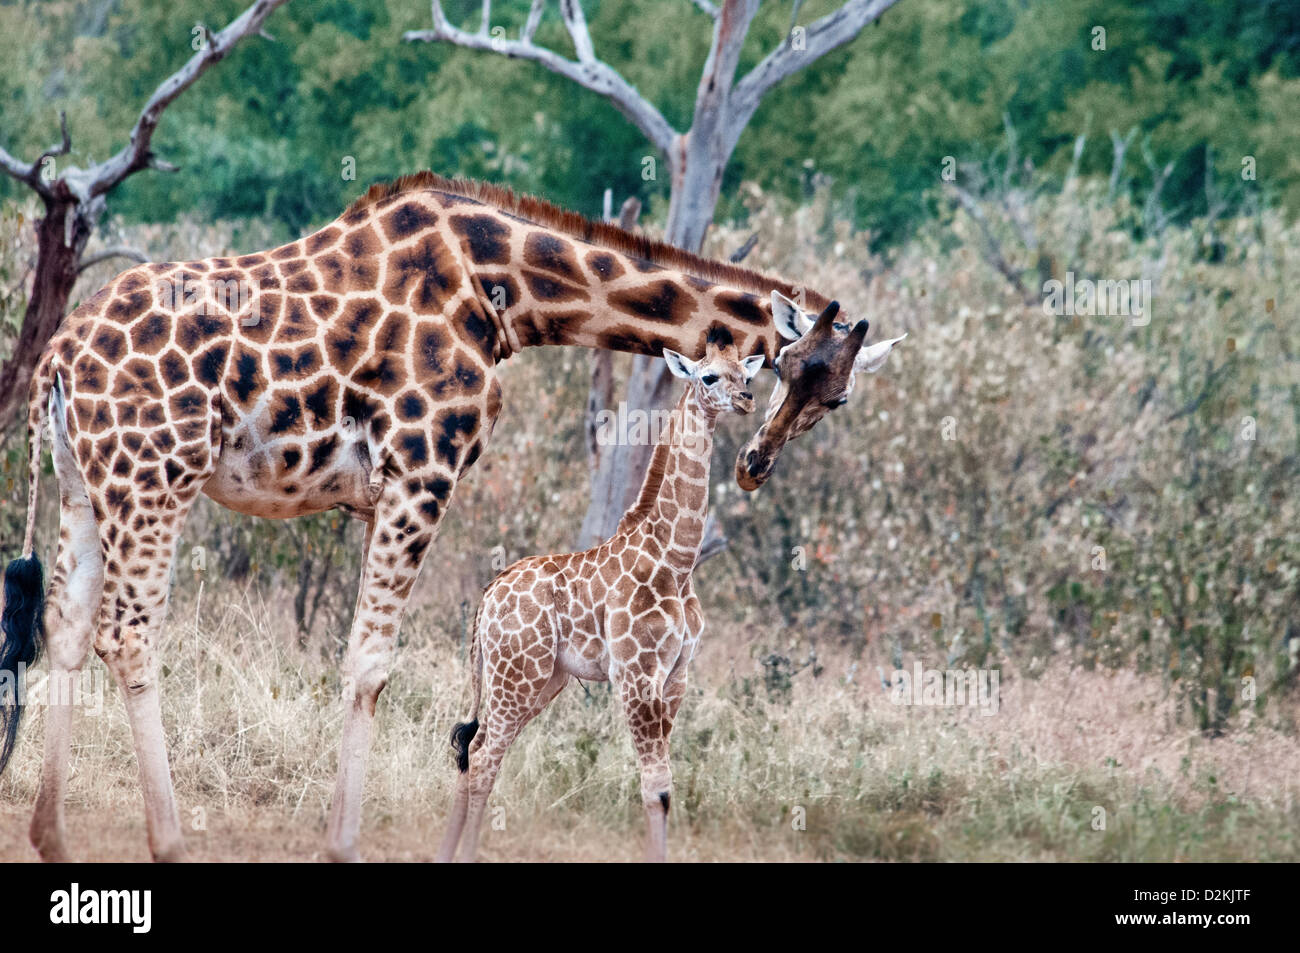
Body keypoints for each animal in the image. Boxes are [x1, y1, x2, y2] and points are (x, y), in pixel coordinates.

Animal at [436, 328, 759, 863]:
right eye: (710, 376)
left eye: (747, 375)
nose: (747, 399)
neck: (677, 560)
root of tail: (487, 599)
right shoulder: (636, 674)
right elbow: (656, 788)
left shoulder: (677, 677)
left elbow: (665, 786)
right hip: (516, 676)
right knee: (481, 756)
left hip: (542, 681)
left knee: (475, 750)